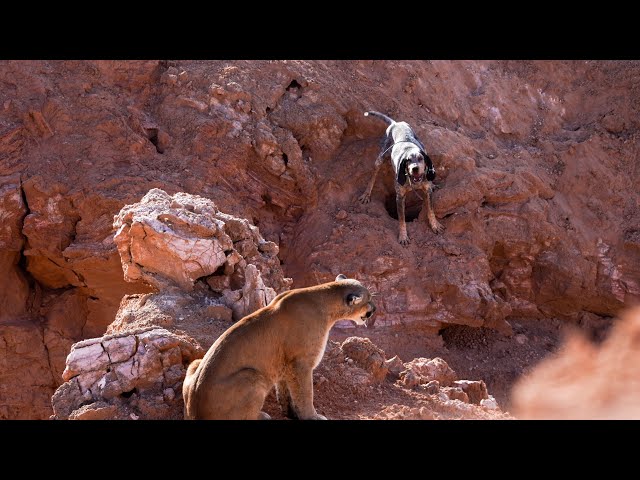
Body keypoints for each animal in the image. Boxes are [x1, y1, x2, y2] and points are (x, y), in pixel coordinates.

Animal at [182, 274, 376, 420]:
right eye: (369, 300)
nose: (374, 309)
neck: (326, 304)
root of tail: (194, 411)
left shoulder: (285, 364)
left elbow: (286, 392)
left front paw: (291, 413)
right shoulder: (301, 363)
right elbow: (305, 393)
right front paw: (312, 416)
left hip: (195, 363)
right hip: (252, 376)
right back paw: (262, 416)